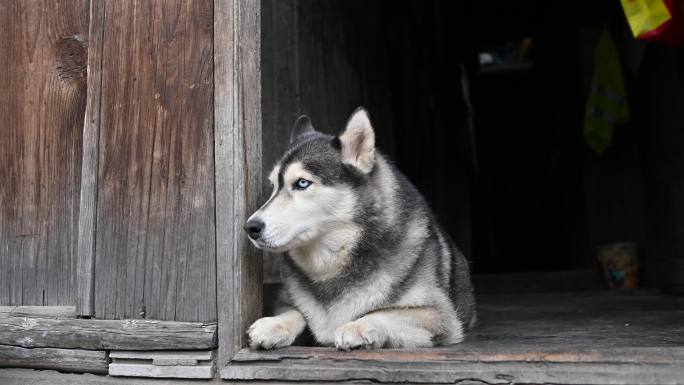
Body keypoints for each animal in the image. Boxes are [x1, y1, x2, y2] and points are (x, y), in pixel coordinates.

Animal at [244, 106, 476, 350]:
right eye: (273, 186)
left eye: (302, 183)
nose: (251, 227)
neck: (332, 264)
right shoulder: (286, 300)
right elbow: (297, 312)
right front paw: (274, 325)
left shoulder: (440, 315)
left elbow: (383, 313)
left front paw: (356, 327)